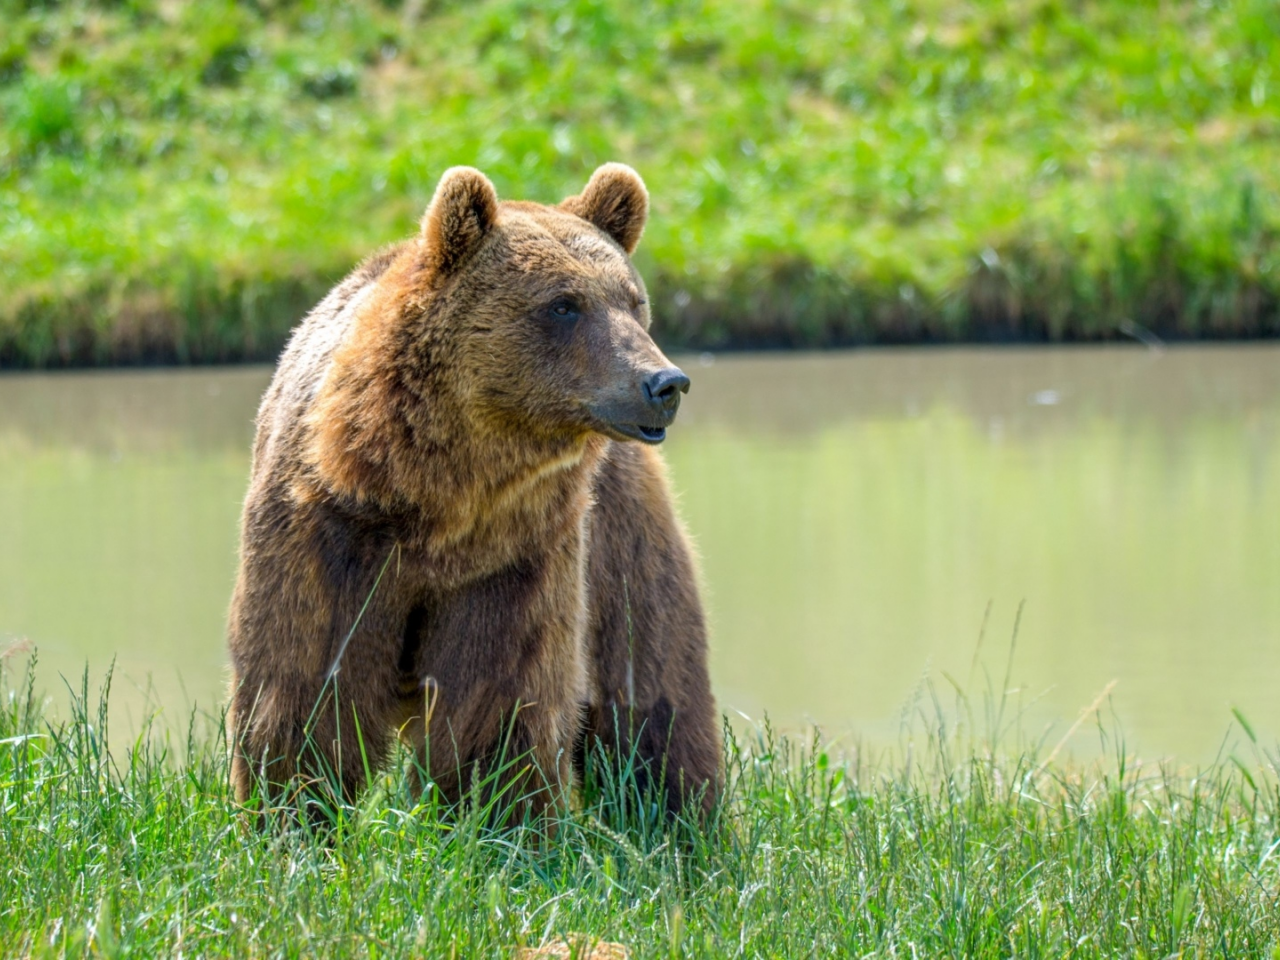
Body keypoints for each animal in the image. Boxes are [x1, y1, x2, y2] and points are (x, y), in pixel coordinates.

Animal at [227, 161, 721, 824]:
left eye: (633, 300)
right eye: (564, 304)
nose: (664, 383)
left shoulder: (515, 554)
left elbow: (499, 692)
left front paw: (495, 813)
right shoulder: (329, 531)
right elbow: (306, 680)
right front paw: (294, 812)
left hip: (620, 536)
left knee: (653, 685)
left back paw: (682, 820)